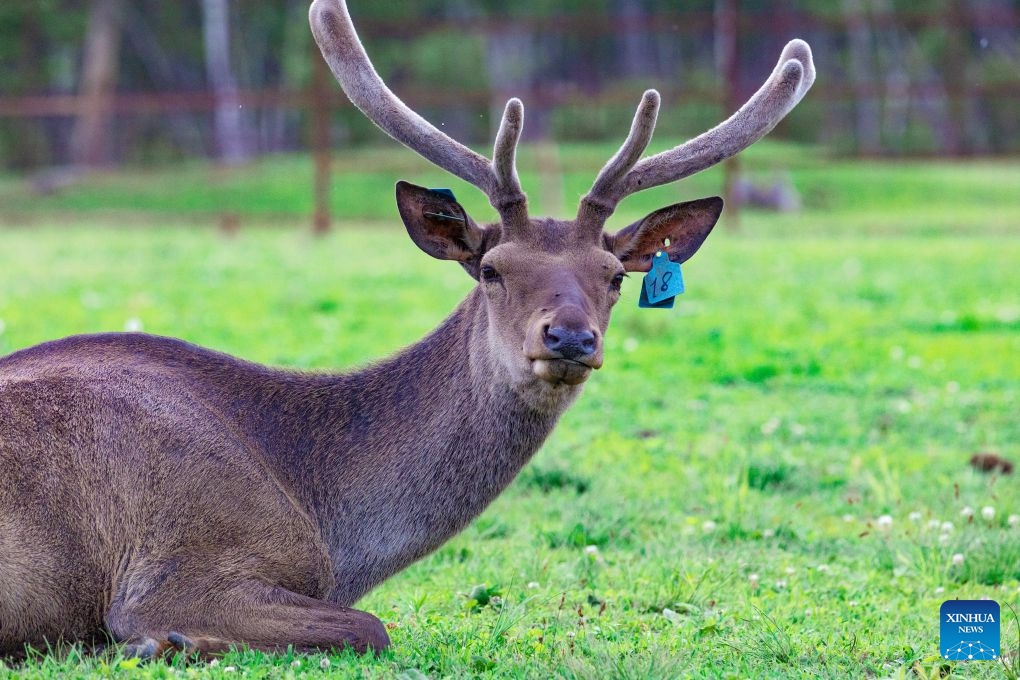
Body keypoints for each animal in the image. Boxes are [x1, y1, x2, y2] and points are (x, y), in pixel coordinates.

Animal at [0, 0, 814, 660]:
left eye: (614, 276)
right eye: (493, 269)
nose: (570, 338)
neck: (325, 511)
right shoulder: (181, 567)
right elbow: (370, 625)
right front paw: (162, 643)